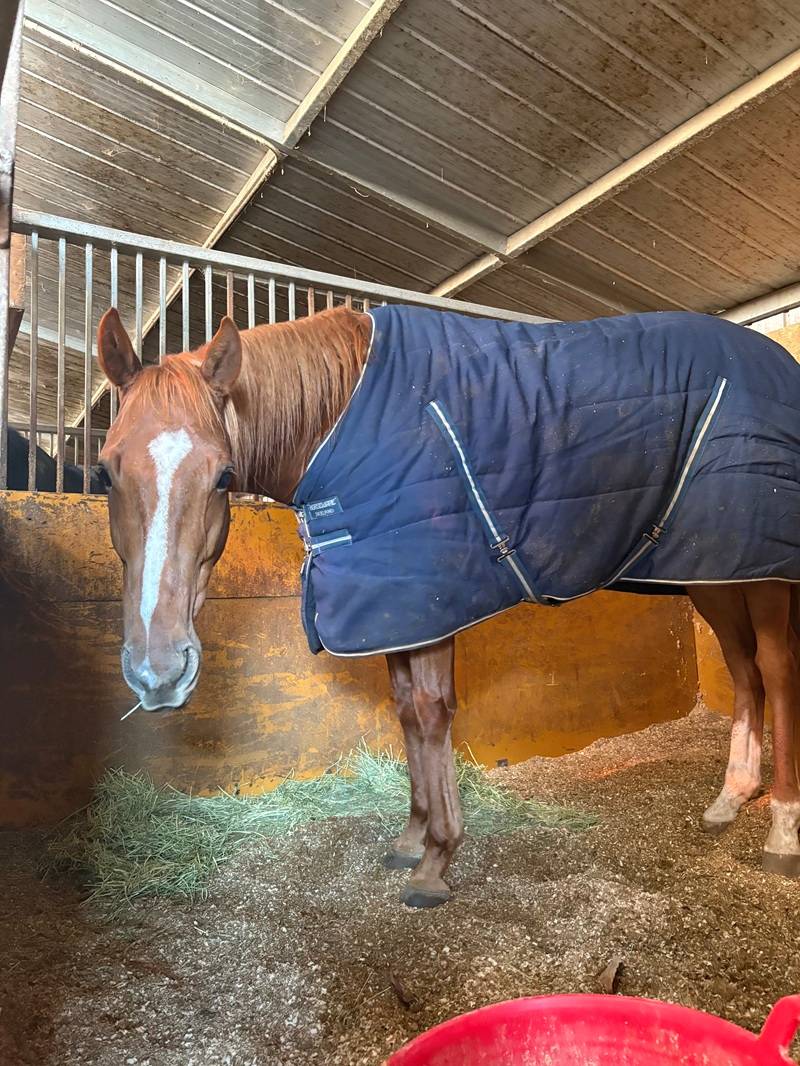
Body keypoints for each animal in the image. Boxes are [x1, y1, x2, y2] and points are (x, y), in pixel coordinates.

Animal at [95, 303, 800, 909]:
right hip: (716, 571)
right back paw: (730, 800)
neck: (347, 419)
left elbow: (433, 715)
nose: (159, 671)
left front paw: (436, 860)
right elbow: (407, 713)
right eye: (105, 471)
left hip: (765, 577)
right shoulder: (392, 606)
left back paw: (782, 831)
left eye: (221, 475)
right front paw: (411, 839)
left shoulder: (426, 598)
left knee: (775, 671)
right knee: (745, 673)